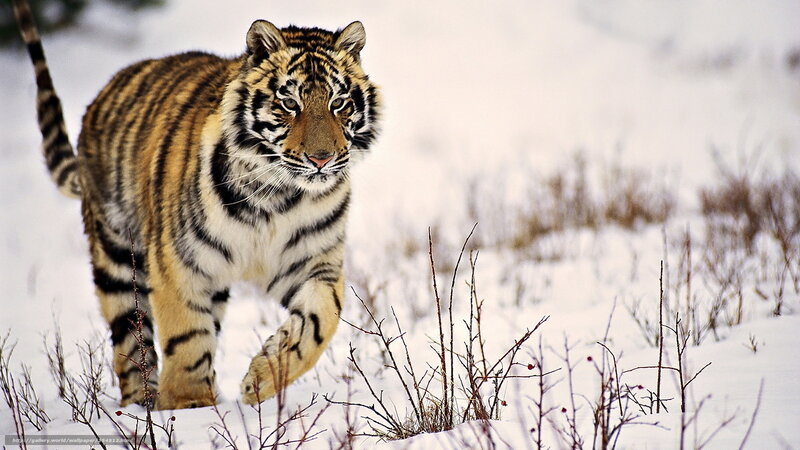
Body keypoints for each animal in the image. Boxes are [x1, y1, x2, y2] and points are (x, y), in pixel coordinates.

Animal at [12, 0, 381, 410]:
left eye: (338, 103)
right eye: (289, 103)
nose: (321, 158)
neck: (277, 195)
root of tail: (103, 94)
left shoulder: (314, 262)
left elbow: (321, 320)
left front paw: (261, 378)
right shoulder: (179, 262)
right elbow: (187, 336)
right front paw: (191, 406)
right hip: (118, 260)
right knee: (131, 344)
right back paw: (141, 407)